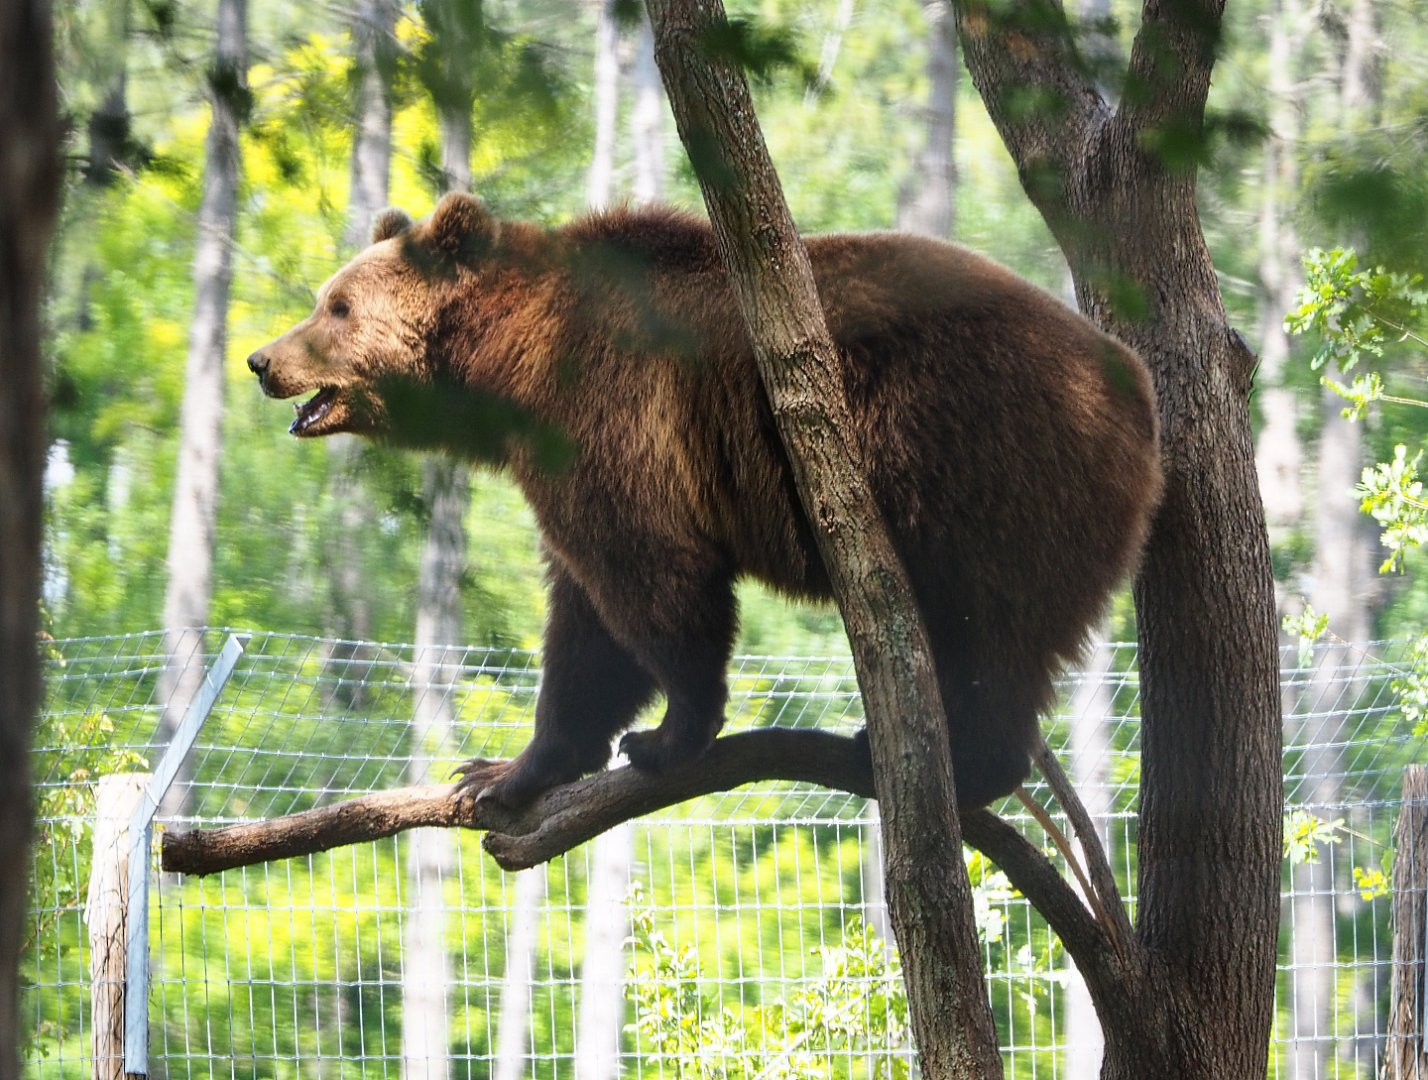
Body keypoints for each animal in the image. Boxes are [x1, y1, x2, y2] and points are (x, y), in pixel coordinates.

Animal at [247, 191, 1162, 811]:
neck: (514, 365)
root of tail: (1135, 386)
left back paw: (944, 761)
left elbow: (649, 583)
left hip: (986, 461)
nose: (261, 359)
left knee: (989, 628)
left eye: (336, 306)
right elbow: (582, 622)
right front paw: (502, 772)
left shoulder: (614, 422)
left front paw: (662, 736)